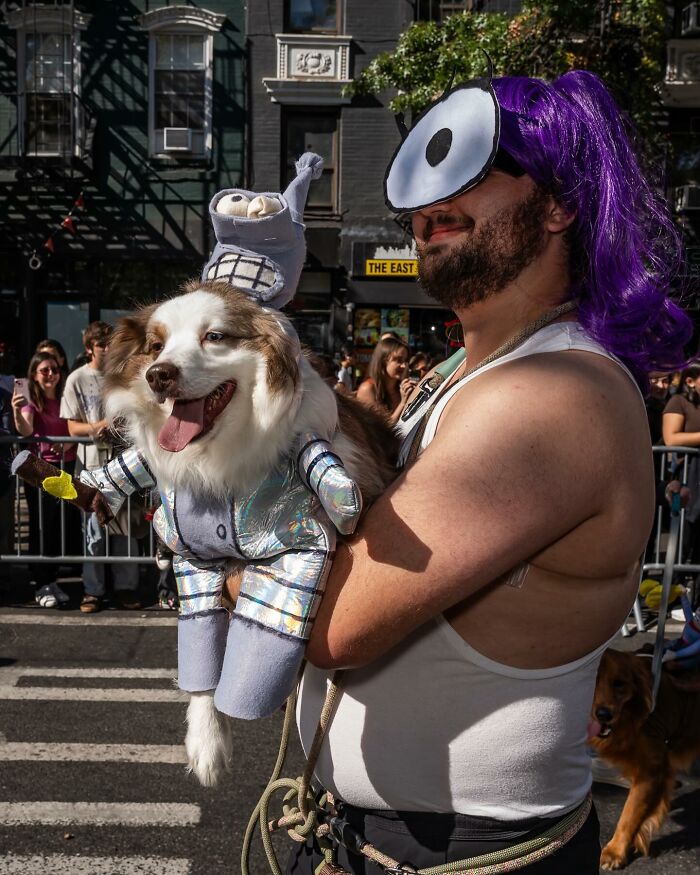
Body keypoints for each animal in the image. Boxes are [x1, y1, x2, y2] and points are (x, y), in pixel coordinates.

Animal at [103, 280, 400, 788]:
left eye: (215, 336)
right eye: (156, 345)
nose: (159, 375)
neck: (221, 460)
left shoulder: (300, 550)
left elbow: (262, 638)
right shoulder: (192, 555)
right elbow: (201, 640)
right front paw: (206, 742)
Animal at [588, 652, 700, 868]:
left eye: (619, 684)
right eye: (591, 681)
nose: (604, 715)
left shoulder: (650, 770)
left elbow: (629, 814)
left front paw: (616, 851)